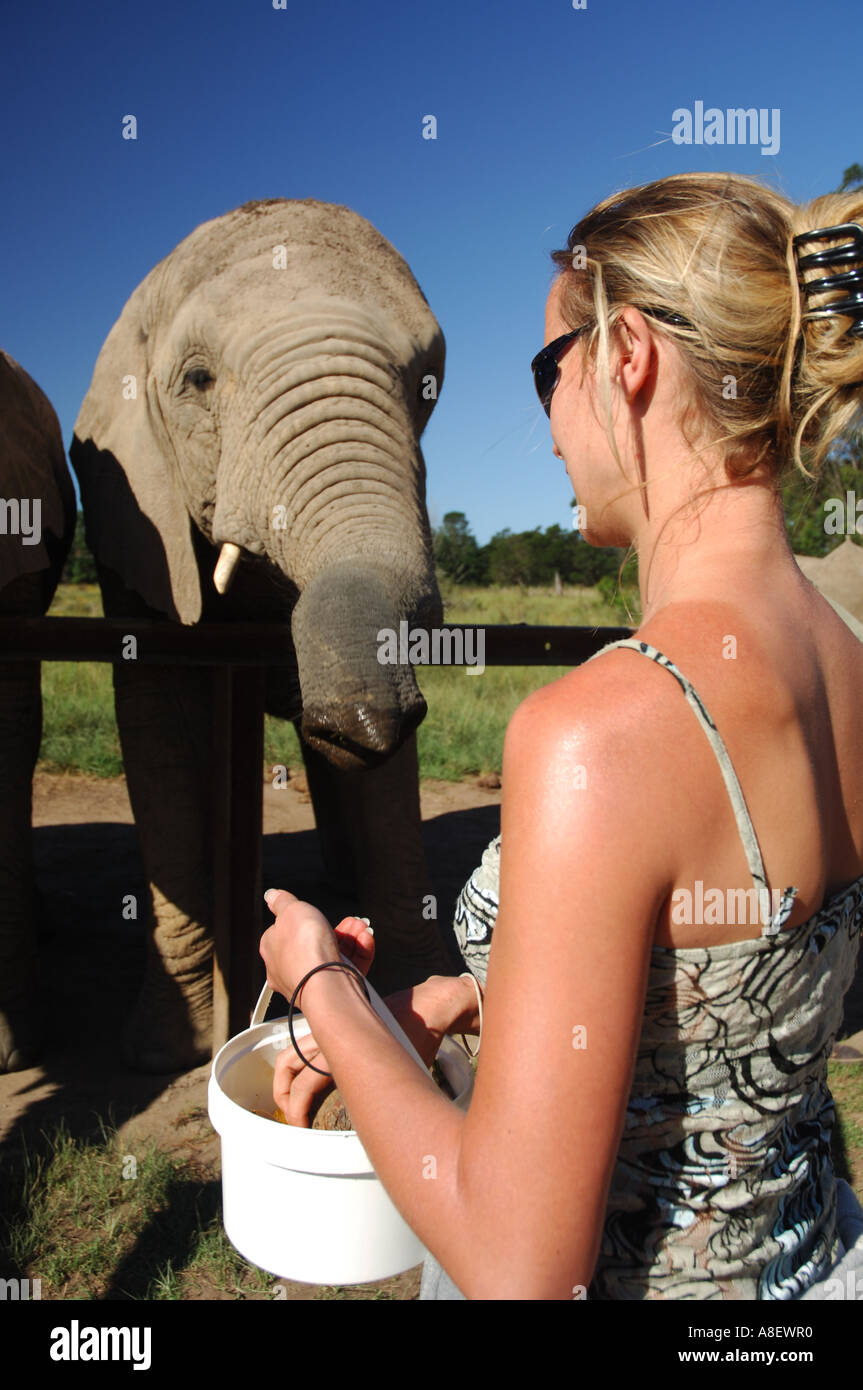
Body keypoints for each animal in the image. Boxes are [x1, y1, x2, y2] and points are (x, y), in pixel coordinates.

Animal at [70, 198, 452, 1072]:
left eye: (428, 384)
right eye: (197, 381)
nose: (356, 724)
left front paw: (411, 993)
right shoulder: (132, 526)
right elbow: (156, 720)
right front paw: (162, 1053)